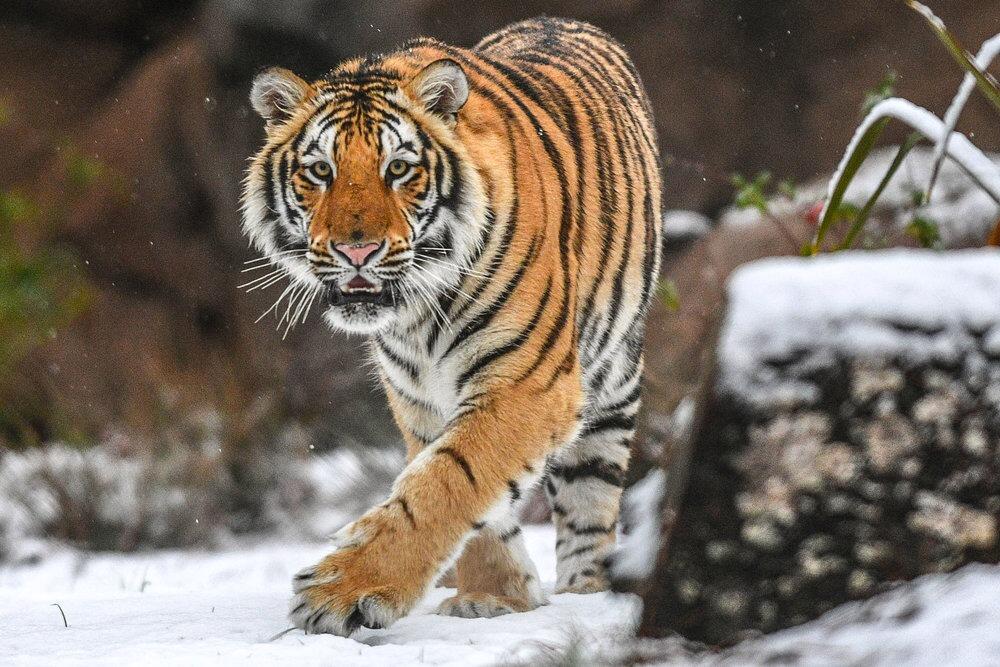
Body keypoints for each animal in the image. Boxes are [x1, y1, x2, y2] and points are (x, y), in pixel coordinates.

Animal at [241, 17, 661, 635]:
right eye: (320, 171)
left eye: (398, 168)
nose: (356, 250)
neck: (417, 316)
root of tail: (558, 20)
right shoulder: (419, 396)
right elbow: (462, 488)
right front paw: (494, 596)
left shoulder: (526, 385)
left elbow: (448, 482)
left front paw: (342, 591)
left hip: (611, 384)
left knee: (591, 501)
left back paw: (587, 594)